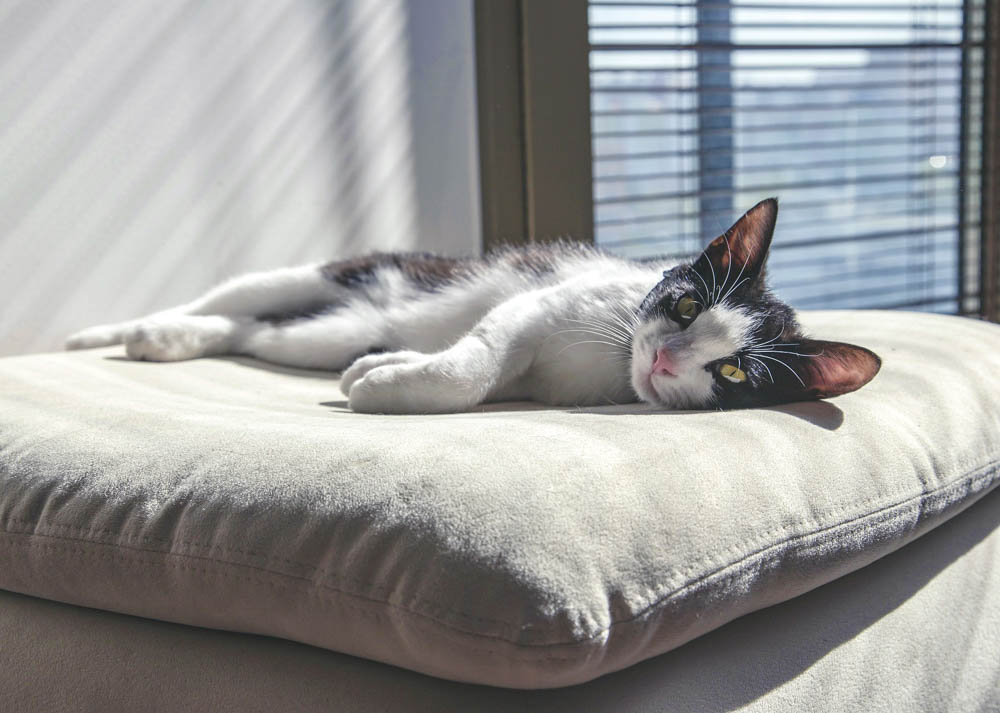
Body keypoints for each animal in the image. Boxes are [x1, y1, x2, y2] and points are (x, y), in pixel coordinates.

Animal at [66, 197, 884, 414]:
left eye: (735, 373)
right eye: (683, 306)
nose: (661, 357)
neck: (611, 364)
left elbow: (474, 369)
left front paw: (384, 372)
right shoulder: (541, 302)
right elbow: (480, 356)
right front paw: (390, 384)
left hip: (326, 330)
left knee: (256, 330)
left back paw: (169, 339)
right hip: (348, 271)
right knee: (239, 295)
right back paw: (112, 332)